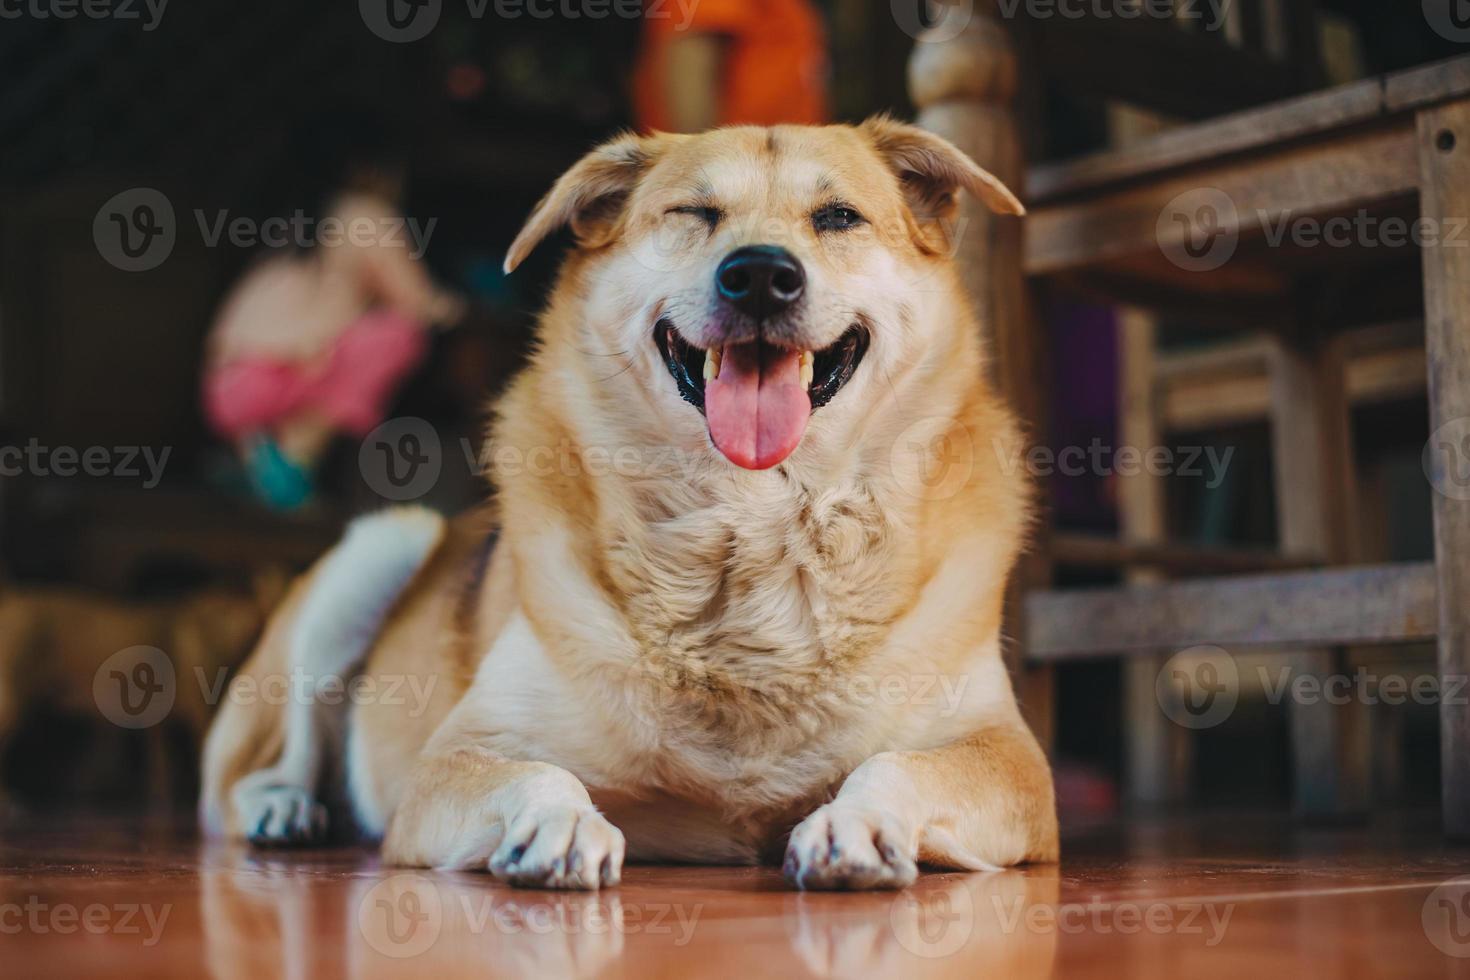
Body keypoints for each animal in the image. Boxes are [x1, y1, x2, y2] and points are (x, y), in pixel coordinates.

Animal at [204, 120, 1058, 887]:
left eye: (839, 217)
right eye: (694, 213)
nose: (759, 275)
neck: (753, 522)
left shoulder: (1011, 758)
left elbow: (899, 765)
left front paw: (858, 821)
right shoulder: (452, 759)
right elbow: (540, 773)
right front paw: (558, 824)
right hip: (376, 553)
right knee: (252, 768)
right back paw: (282, 808)